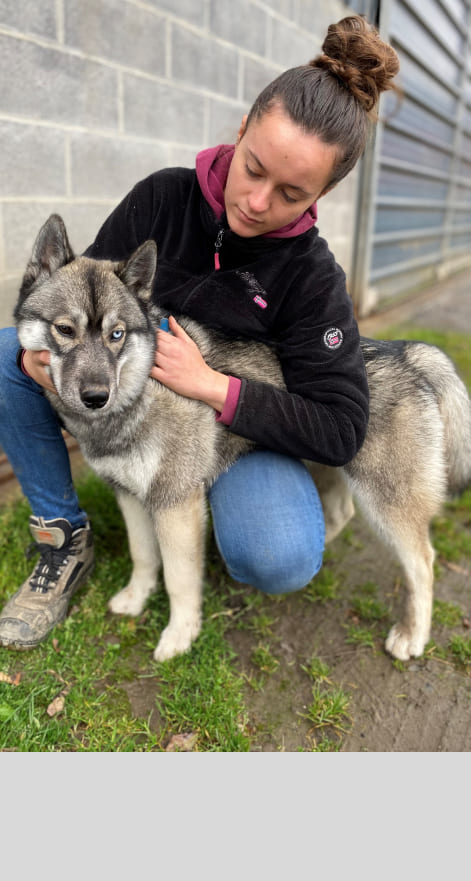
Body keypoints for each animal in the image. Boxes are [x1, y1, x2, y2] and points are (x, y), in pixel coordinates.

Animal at [13, 217, 471, 664]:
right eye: (64, 329)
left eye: (117, 334)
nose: (95, 397)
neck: (140, 389)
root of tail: (405, 354)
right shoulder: (131, 496)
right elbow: (143, 556)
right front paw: (135, 599)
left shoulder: (176, 504)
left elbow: (179, 579)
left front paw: (180, 635)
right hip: (335, 471)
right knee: (341, 512)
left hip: (387, 500)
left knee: (422, 562)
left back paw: (412, 636)